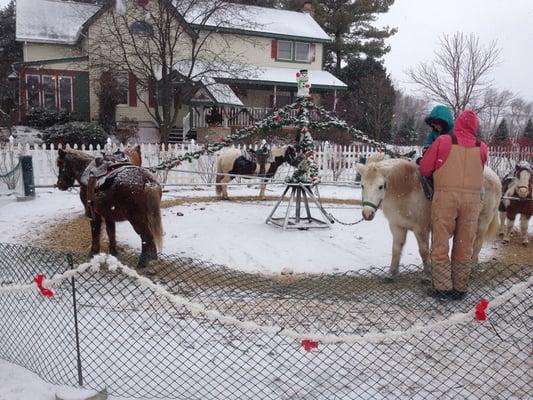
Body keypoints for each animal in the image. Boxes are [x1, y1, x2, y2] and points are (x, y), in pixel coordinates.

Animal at [356, 155, 500, 280]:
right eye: (362, 185)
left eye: (380, 186)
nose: (367, 214)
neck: (406, 189)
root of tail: (495, 177)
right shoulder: (397, 226)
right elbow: (396, 249)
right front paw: (392, 273)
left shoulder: (421, 228)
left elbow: (424, 251)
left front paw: (427, 274)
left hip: (482, 221)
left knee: (477, 243)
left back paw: (472, 267)